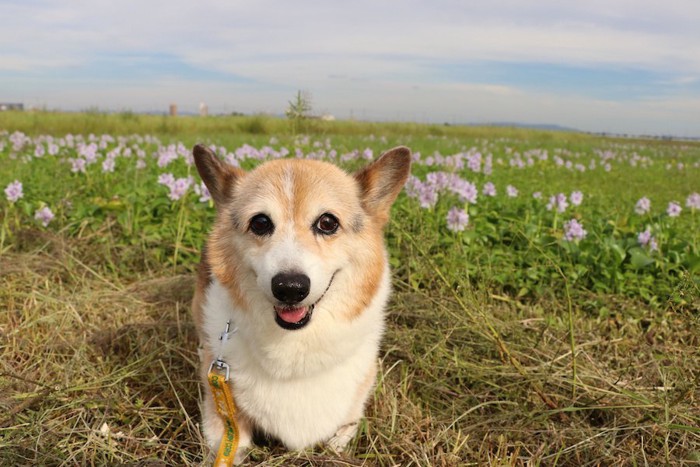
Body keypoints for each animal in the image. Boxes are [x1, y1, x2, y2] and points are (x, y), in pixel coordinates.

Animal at [190, 144, 410, 464]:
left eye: (328, 222)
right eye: (260, 222)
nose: (290, 288)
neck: (293, 349)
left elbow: (340, 436)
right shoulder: (222, 411)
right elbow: (231, 444)